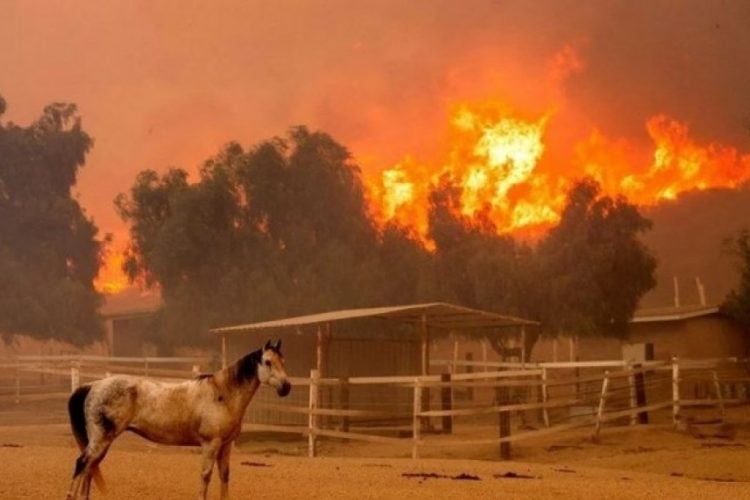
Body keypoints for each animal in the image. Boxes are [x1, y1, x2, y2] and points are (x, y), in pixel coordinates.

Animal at [66, 340, 292, 500]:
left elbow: (224, 476)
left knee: (89, 470)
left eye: (283, 361)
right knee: (81, 465)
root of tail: (94, 385)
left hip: (101, 444)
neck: (222, 394)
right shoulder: (210, 444)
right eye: (268, 362)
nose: (286, 387)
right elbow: (206, 475)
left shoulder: (226, 445)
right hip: (100, 440)